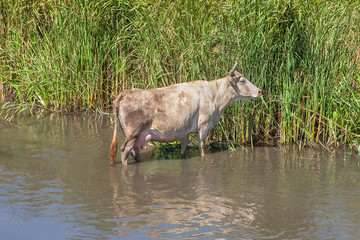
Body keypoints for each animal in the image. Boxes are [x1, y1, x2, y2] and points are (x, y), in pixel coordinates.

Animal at [108, 61, 260, 165]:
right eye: (242, 80)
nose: (259, 90)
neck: (215, 96)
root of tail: (125, 92)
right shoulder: (204, 124)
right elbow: (201, 146)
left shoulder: (184, 130)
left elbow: (183, 148)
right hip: (133, 133)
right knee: (124, 150)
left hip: (133, 135)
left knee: (134, 151)